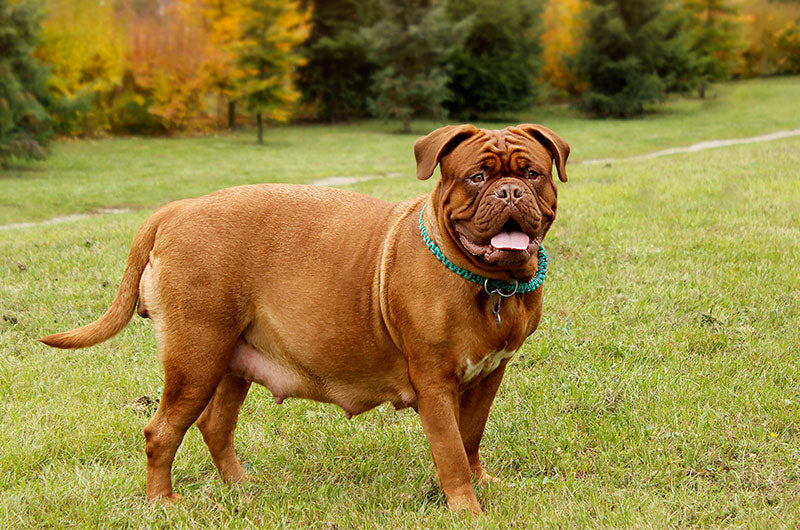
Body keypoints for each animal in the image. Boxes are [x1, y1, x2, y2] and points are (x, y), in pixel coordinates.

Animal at [40, 124, 568, 512]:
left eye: (533, 173)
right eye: (477, 178)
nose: (509, 192)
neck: (491, 286)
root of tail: (176, 209)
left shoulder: (490, 373)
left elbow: (471, 437)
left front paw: (484, 485)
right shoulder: (435, 383)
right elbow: (451, 452)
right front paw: (466, 508)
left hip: (229, 361)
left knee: (215, 426)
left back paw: (240, 487)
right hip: (196, 358)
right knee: (162, 431)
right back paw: (163, 503)